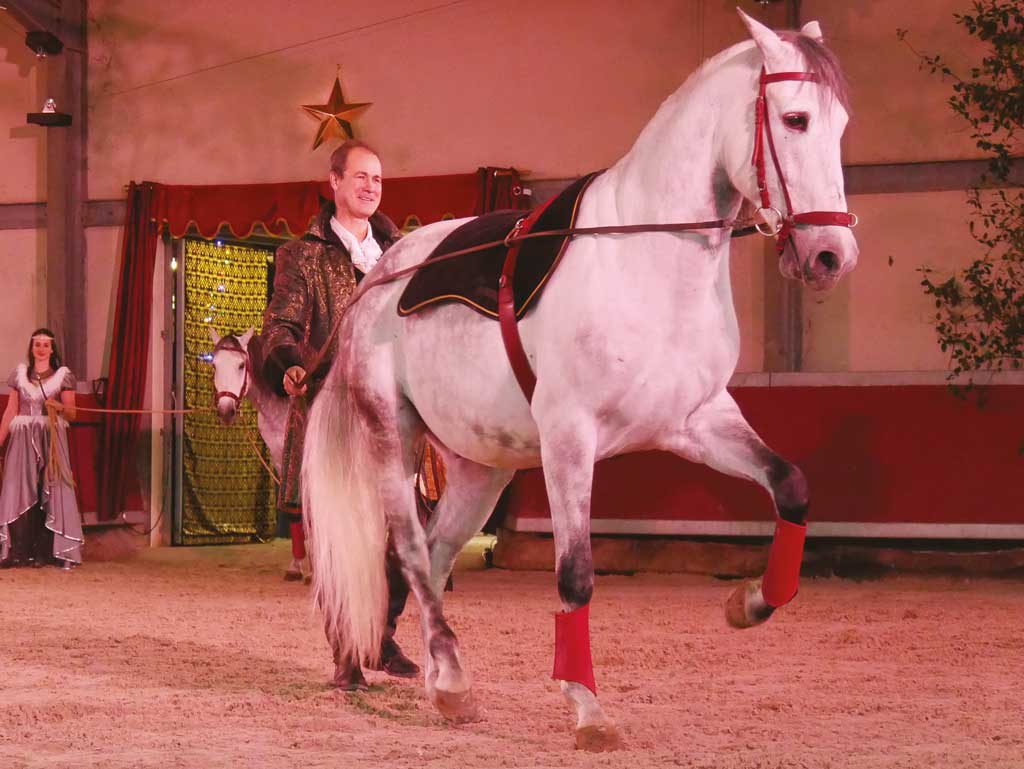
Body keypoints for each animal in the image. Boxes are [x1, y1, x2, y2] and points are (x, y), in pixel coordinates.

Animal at [301, 12, 856, 753]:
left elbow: (790, 484)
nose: (830, 254)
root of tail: (374, 283)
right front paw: (588, 708)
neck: (645, 255)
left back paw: (441, 678)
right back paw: (449, 680)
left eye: (841, 122)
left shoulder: (697, 421)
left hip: (482, 467)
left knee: (440, 554)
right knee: (414, 551)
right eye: (795, 119)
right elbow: (576, 574)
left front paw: (748, 602)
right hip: (395, 437)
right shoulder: (569, 438)